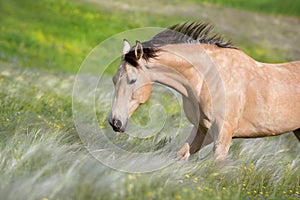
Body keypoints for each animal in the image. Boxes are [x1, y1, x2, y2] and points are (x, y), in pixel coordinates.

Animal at [108, 21, 300, 161]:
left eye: (132, 80)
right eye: (114, 79)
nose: (114, 122)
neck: (209, 77)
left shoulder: (223, 136)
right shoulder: (201, 129)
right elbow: (181, 155)